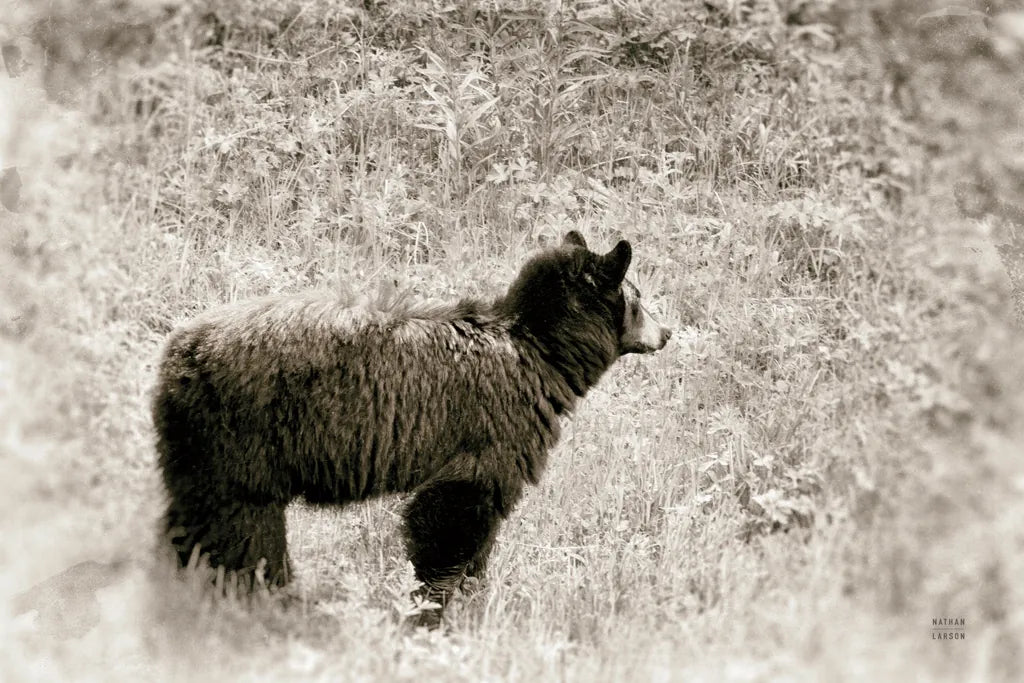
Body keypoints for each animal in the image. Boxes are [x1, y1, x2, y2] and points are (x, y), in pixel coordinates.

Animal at [152, 231, 671, 624]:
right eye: (638, 298)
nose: (667, 332)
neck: (540, 352)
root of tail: (180, 352)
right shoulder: (493, 424)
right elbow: (456, 508)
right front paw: (434, 607)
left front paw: (471, 595)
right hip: (245, 439)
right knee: (245, 526)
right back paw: (265, 597)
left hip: (195, 445)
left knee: (194, 514)